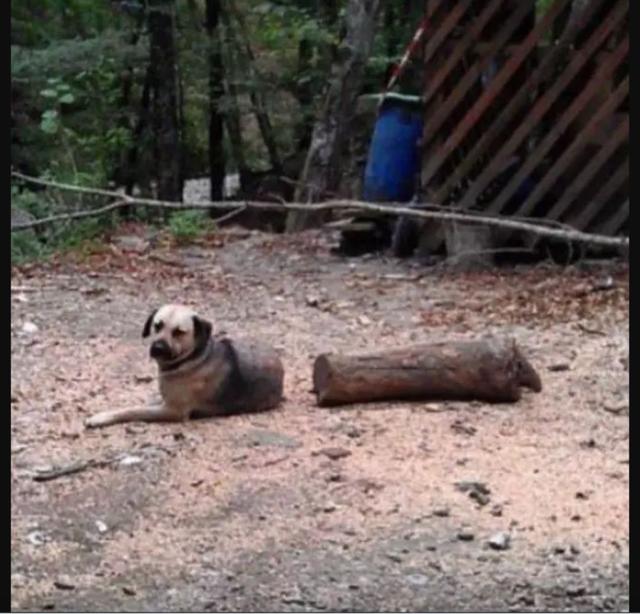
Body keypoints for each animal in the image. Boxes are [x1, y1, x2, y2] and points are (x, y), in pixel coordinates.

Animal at [84, 306, 284, 430]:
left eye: (179, 332)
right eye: (157, 325)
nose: (157, 348)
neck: (192, 359)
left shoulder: (173, 410)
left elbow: (133, 410)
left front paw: (101, 417)